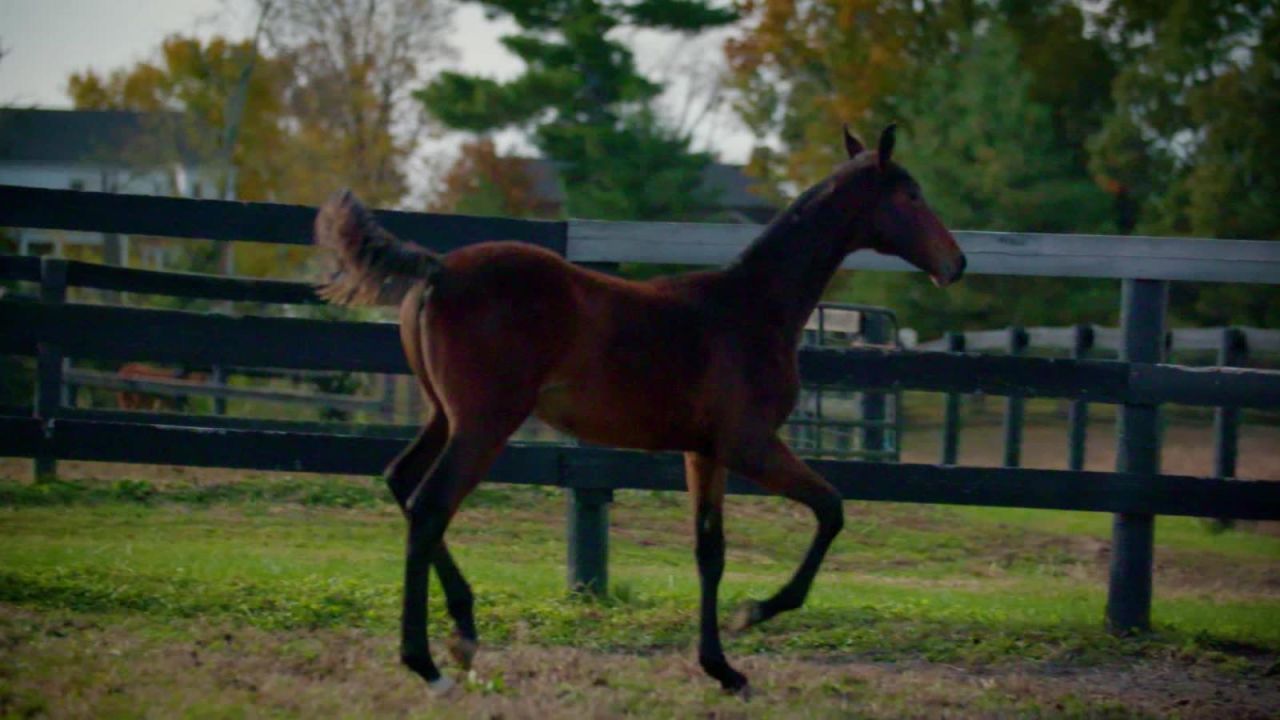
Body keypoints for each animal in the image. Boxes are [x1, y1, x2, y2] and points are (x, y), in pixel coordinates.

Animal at [314, 124, 962, 696]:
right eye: (910, 194)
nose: (955, 263)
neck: (753, 307)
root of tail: (439, 269)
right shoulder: (750, 444)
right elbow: (831, 509)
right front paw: (754, 613)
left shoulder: (704, 452)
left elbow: (710, 551)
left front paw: (722, 669)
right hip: (483, 424)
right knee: (429, 505)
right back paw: (429, 664)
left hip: (445, 416)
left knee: (402, 481)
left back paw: (465, 631)